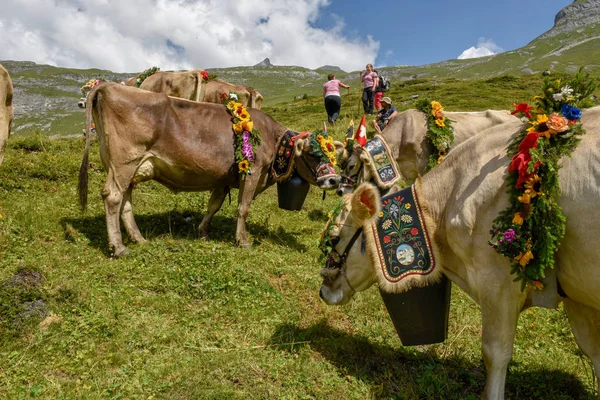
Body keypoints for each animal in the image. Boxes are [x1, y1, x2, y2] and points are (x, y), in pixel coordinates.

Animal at [79, 82, 340, 256]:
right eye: (313, 154)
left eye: (335, 156)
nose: (335, 180)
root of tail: (107, 86)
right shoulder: (252, 171)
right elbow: (243, 207)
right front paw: (242, 241)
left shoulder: (223, 178)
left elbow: (213, 205)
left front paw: (202, 231)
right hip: (125, 161)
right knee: (113, 197)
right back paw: (118, 246)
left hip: (127, 166)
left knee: (125, 201)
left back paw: (138, 238)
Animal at [322, 105, 600, 396]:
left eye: (335, 238)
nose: (324, 290)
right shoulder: (574, 290)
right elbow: (593, 350)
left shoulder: (499, 285)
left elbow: (495, 354)